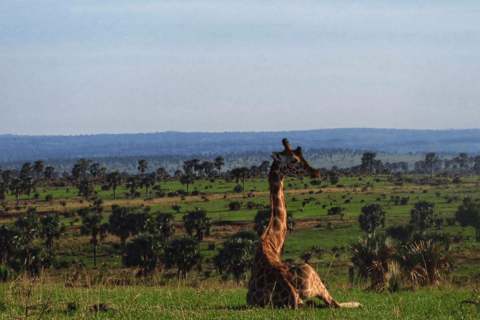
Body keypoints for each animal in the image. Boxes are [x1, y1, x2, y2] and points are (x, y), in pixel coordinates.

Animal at [246, 139, 362, 308]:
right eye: (294, 160)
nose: (316, 172)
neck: (269, 243)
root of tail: (291, 293)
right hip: (315, 277)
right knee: (335, 304)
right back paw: (358, 303)